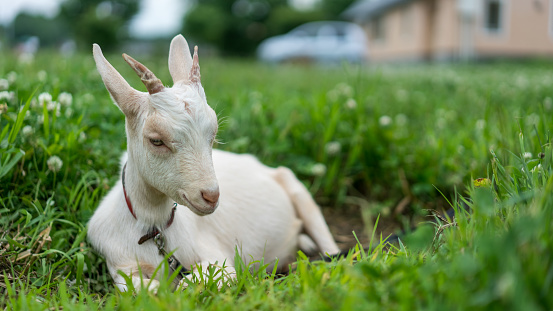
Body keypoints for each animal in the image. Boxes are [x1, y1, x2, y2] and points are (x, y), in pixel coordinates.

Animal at [87, 34, 338, 292]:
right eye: (156, 140)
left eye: (213, 133)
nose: (211, 196)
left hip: (298, 192)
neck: (154, 228)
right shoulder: (119, 264)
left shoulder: (218, 258)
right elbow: (141, 287)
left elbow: (192, 282)